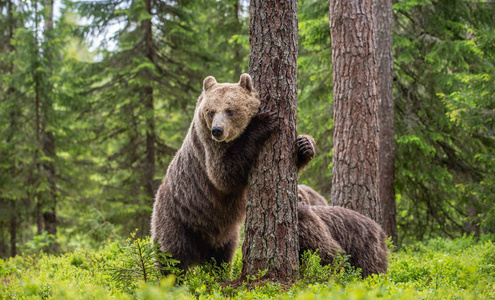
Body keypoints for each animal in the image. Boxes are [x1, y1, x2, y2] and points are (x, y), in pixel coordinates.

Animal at [150, 74, 318, 272]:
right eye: (211, 111)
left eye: (230, 110)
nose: (217, 130)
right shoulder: (208, 148)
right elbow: (224, 174)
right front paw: (264, 121)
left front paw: (305, 145)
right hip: (176, 218)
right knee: (173, 256)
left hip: (223, 233)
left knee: (221, 257)